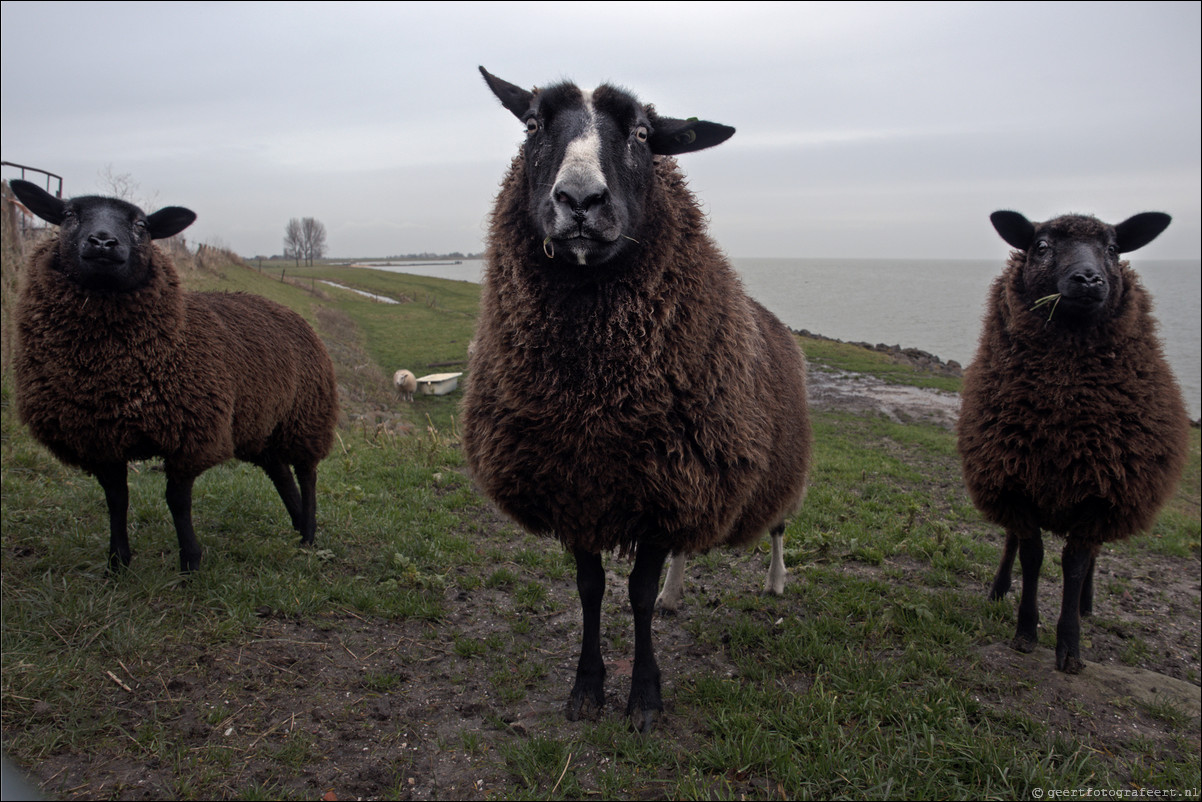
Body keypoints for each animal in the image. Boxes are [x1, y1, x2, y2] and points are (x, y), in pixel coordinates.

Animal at [12, 179, 343, 574]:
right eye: (68, 215)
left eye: (142, 224)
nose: (104, 242)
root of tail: (288, 310)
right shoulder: (100, 439)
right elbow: (116, 499)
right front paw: (117, 563)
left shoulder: (190, 435)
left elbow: (177, 501)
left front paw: (190, 563)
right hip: (259, 422)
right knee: (279, 471)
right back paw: (296, 525)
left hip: (306, 416)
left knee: (307, 473)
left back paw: (308, 534)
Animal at [463, 69, 812, 735]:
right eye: (532, 124)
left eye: (645, 134)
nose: (579, 200)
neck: (593, 403)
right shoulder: (578, 488)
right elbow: (592, 590)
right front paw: (586, 688)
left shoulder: (664, 488)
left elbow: (638, 595)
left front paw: (645, 697)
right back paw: (680, 594)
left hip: (769, 467)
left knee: (779, 525)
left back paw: (778, 583)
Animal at [951, 210, 1187, 673]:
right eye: (1041, 246)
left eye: (1113, 249)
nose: (1089, 279)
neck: (1062, 417)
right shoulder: (1015, 482)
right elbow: (1032, 555)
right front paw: (1025, 632)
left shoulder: (1102, 494)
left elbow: (1075, 564)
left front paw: (1070, 647)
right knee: (1011, 541)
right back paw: (999, 588)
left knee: (1092, 557)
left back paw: (1085, 604)